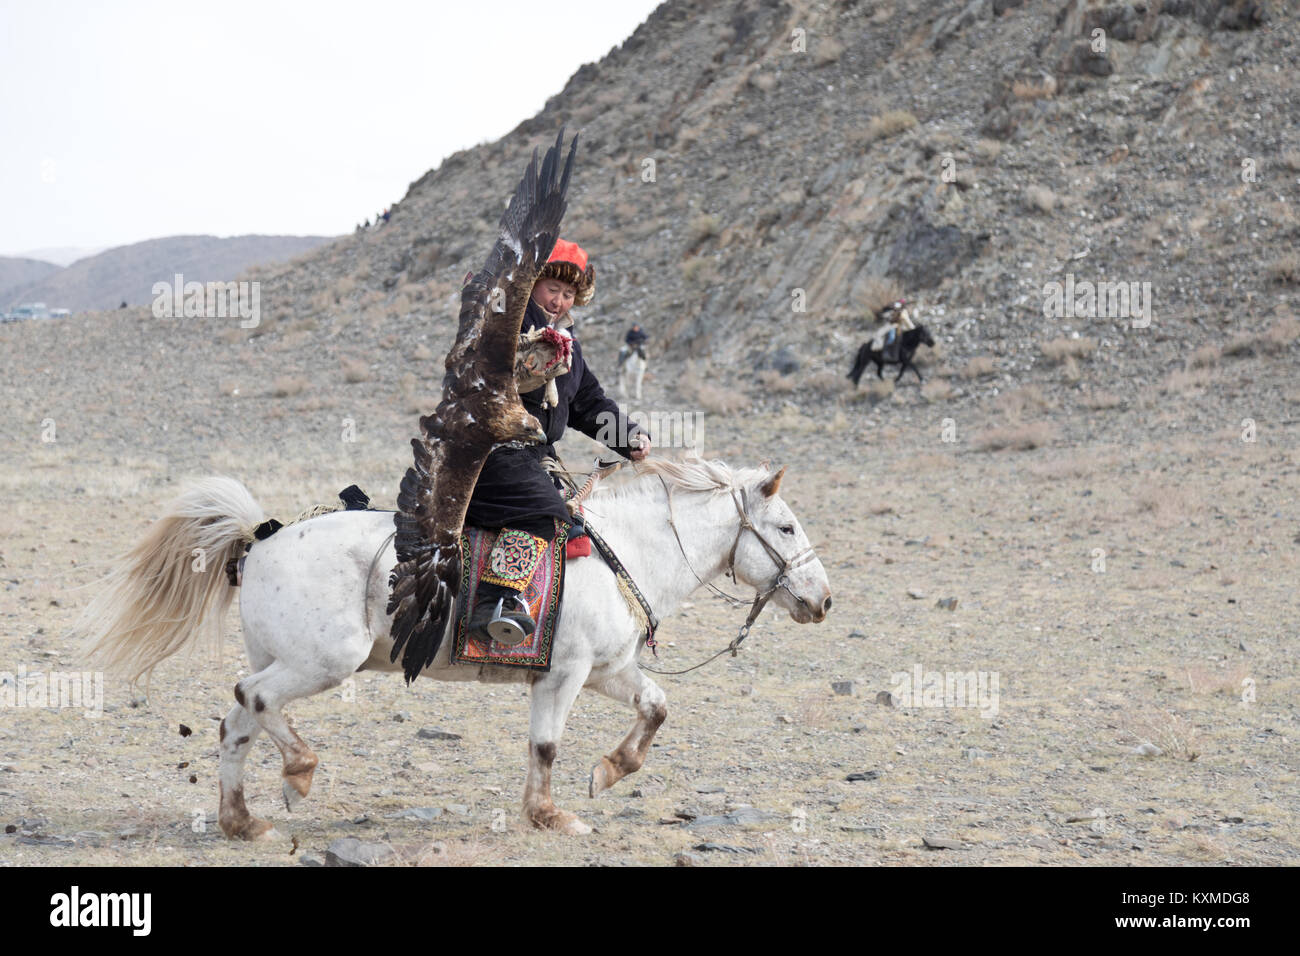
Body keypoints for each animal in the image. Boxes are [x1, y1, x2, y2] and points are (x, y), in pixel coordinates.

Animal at [81, 455, 832, 837]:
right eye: (786, 527)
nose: (823, 601)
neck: (625, 548)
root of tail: (260, 540)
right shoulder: (563, 676)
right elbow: (546, 745)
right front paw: (550, 814)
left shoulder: (608, 671)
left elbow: (657, 706)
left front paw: (609, 772)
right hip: (322, 662)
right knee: (254, 700)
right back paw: (298, 773)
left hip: (282, 659)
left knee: (234, 722)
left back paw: (242, 822)